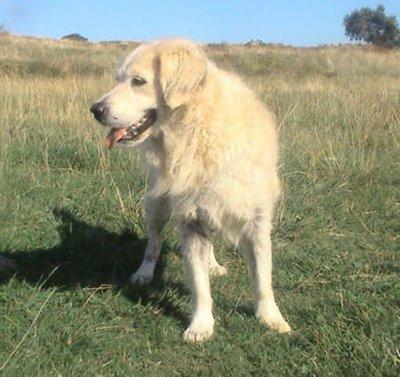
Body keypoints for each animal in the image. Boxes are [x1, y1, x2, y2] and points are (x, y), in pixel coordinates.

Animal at [90, 38, 290, 340]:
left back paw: (214, 265)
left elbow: (263, 279)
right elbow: (199, 286)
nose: (95, 110)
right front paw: (201, 325)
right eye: (118, 80)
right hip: (156, 207)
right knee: (153, 243)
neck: (197, 131)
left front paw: (271, 318)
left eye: (138, 81)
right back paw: (144, 273)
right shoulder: (192, 222)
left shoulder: (256, 223)